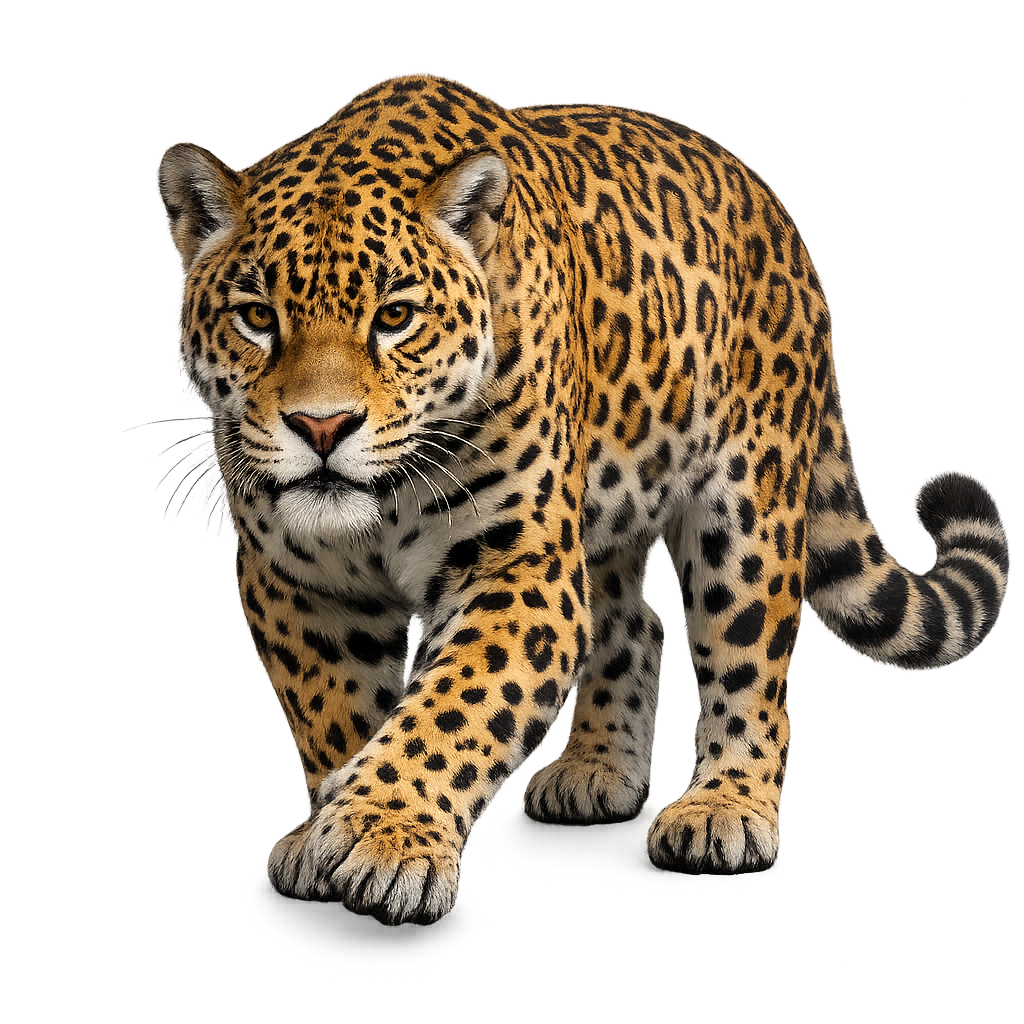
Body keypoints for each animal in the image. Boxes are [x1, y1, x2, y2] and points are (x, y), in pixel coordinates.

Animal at [159, 75, 1009, 925]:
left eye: (396, 317)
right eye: (257, 317)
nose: (322, 426)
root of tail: (774, 212)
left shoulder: (517, 564)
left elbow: (451, 709)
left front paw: (383, 836)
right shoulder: (298, 582)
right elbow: (337, 714)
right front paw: (324, 831)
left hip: (746, 506)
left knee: (749, 659)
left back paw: (726, 808)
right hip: (605, 509)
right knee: (633, 628)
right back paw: (597, 770)